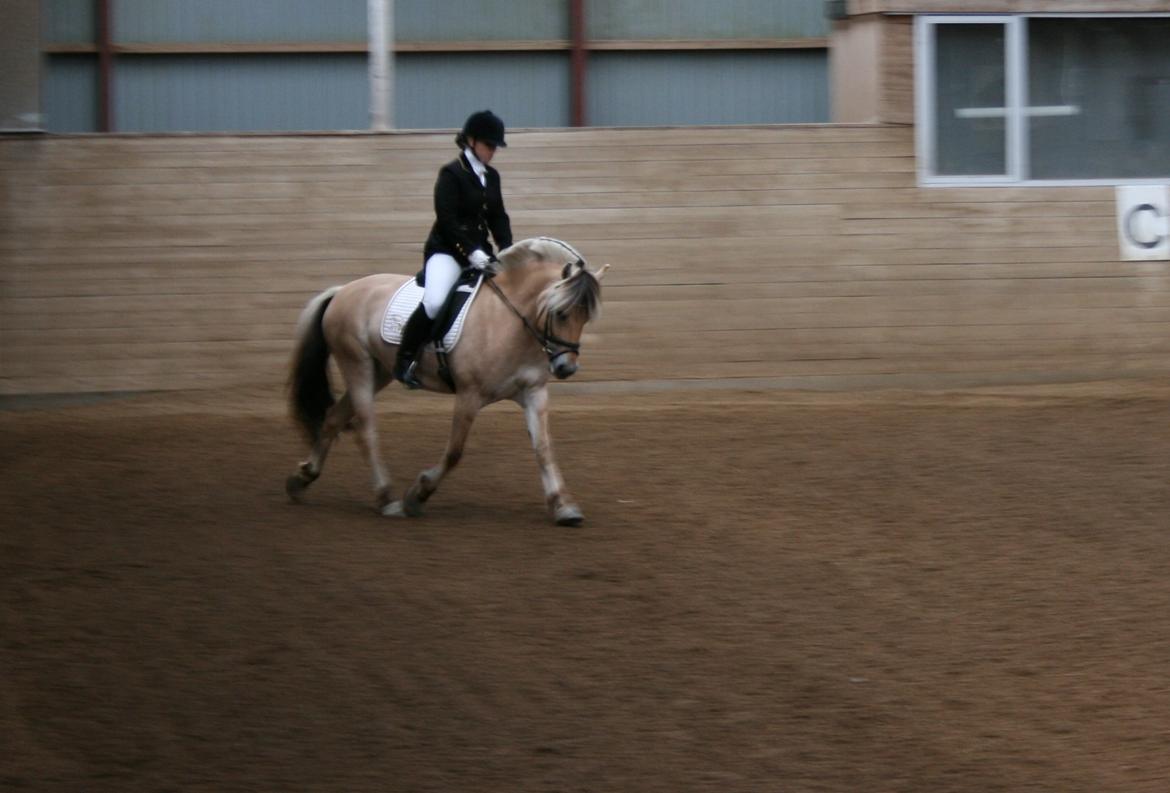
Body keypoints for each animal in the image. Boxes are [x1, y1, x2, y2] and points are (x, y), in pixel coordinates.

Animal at [286, 236, 608, 528]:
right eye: (560, 313)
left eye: (586, 318)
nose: (566, 368)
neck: (511, 320)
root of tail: (342, 291)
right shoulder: (469, 394)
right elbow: (455, 451)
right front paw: (419, 494)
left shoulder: (533, 392)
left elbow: (543, 448)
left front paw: (564, 507)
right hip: (357, 364)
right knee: (365, 429)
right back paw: (387, 498)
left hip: (379, 371)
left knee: (333, 417)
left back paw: (302, 478)